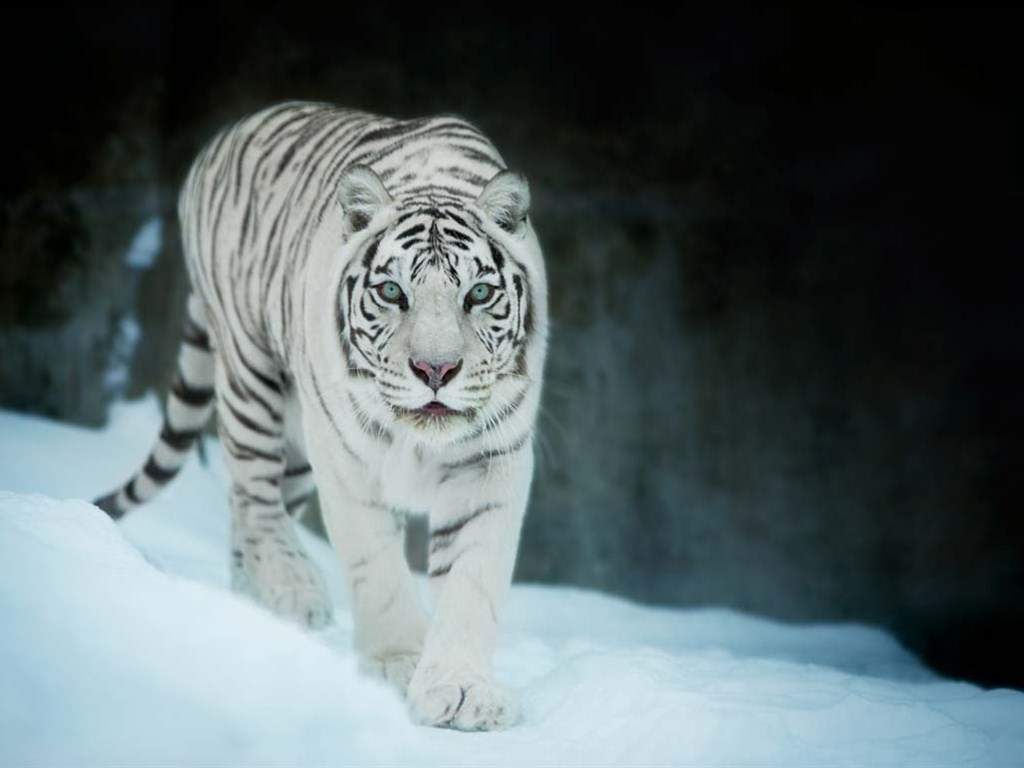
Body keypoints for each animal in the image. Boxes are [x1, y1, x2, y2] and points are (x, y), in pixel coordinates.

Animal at [95, 101, 548, 731]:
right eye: (392, 292)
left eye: (478, 295)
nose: (435, 370)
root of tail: (229, 131)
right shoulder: (345, 456)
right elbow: (376, 565)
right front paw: (397, 663)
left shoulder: (490, 459)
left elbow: (471, 580)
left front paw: (461, 690)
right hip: (253, 377)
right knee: (253, 495)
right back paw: (291, 589)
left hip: (295, 443)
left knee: (252, 506)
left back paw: (254, 599)